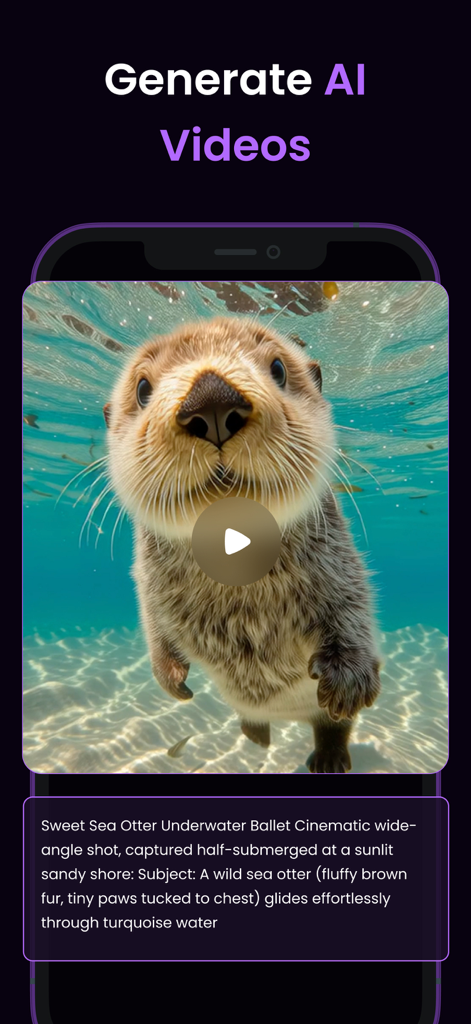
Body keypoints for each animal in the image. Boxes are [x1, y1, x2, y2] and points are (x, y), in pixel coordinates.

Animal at [104, 317, 380, 772]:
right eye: (143, 389)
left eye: (279, 369)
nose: (211, 399)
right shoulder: (147, 579)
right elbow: (153, 623)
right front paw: (171, 678)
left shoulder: (336, 559)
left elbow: (351, 605)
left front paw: (348, 679)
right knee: (253, 717)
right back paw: (256, 734)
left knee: (333, 726)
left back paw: (329, 757)